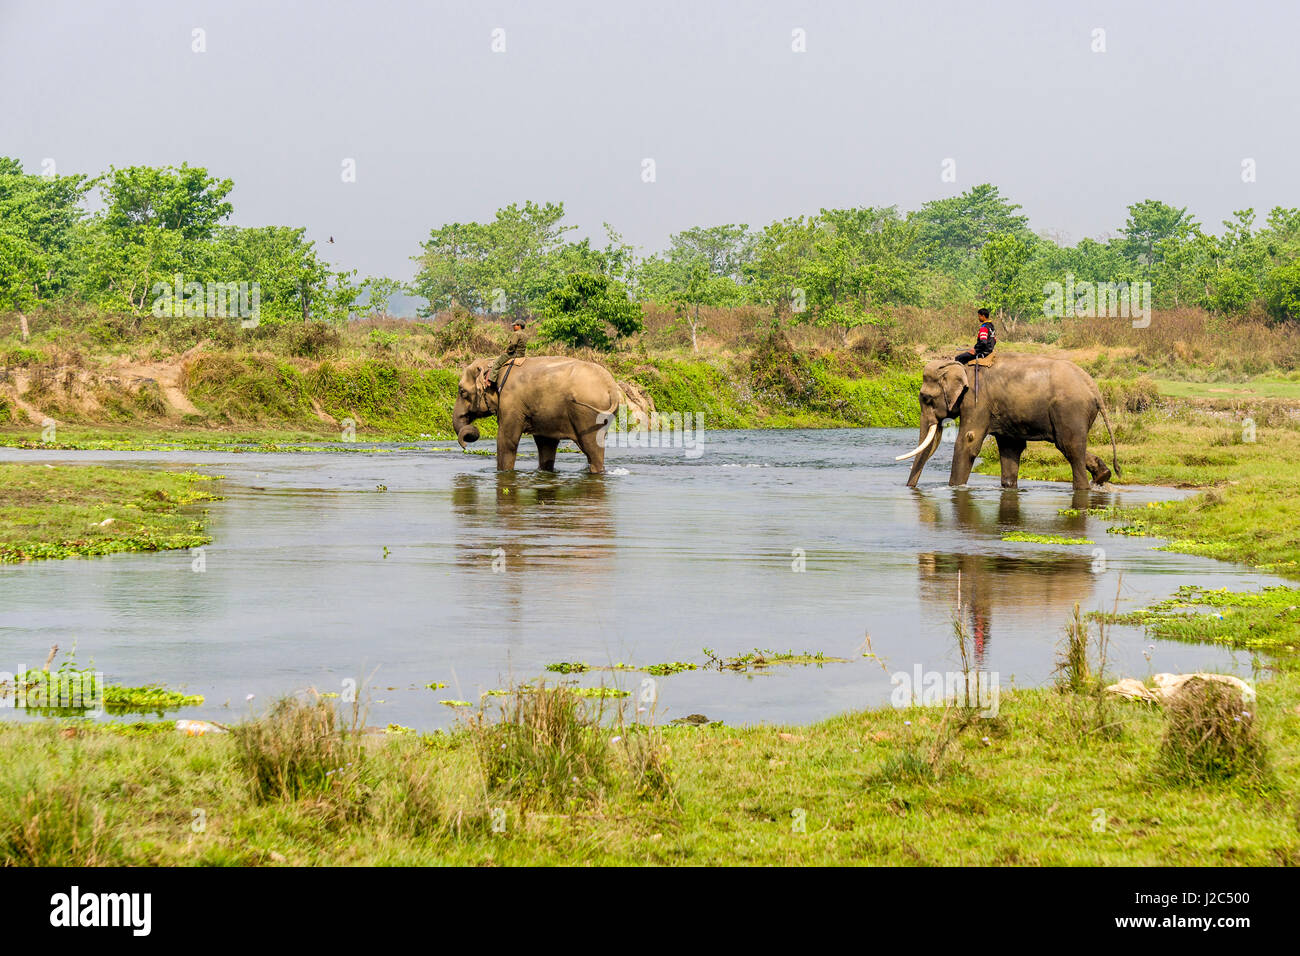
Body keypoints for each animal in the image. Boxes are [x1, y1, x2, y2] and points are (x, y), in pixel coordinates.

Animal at [452, 353, 644, 473]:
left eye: (462, 392)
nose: (466, 445)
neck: (494, 363)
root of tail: (611, 386)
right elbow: (546, 443)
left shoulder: (511, 402)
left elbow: (508, 440)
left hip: (589, 414)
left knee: (592, 449)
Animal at [899, 358, 1123, 494]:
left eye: (926, 398)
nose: (910, 489)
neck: (957, 364)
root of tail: (1093, 387)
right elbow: (1010, 448)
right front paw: (1008, 487)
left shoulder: (977, 401)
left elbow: (968, 441)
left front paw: (955, 488)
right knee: (1069, 446)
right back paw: (1103, 476)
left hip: (1070, 410)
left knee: (1069, 447)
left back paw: (1084, 488)